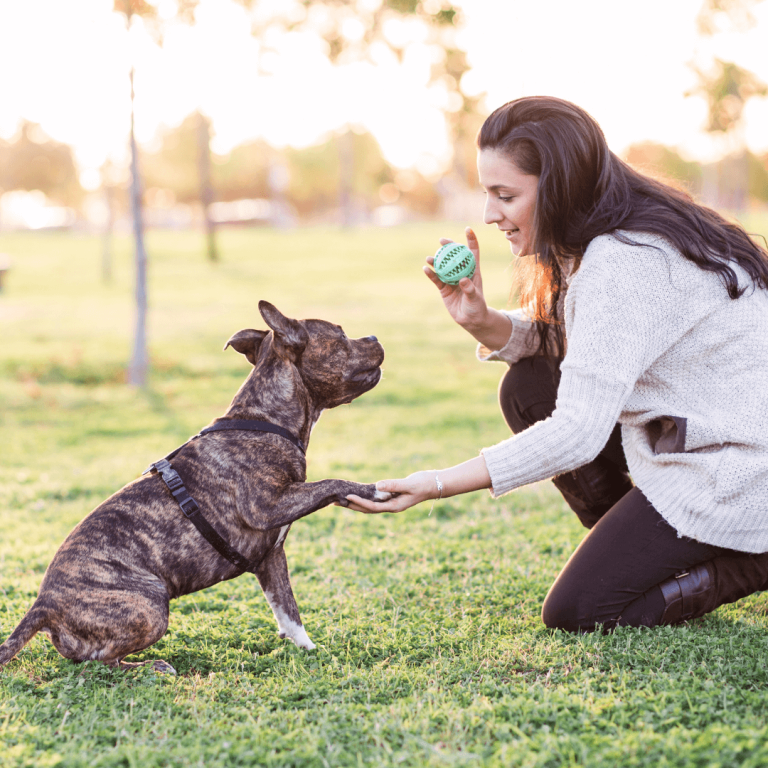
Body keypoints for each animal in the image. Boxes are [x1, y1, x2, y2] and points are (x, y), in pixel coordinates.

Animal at [0, 300, 390, 672]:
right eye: (341, 334)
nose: (373, 336)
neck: (265, 421)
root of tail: (44, 605)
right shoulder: (265, 507)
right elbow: (330, 483)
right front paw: (373, 490)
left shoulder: (271, 557)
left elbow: (287, 610)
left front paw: (309, 650)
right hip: (150, 605)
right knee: (101, 663)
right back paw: (149, 667)